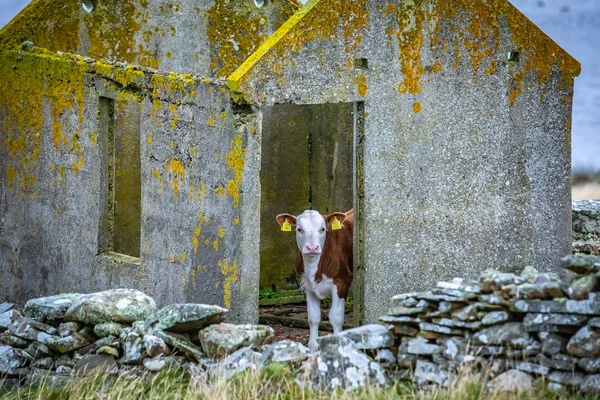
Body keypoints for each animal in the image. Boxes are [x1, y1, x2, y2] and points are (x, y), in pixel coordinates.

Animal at [278, 209, 356, 350]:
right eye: (299, 229)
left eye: (323, 229)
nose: (312, 247)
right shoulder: (307, 285)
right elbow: (313, 317)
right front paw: (313, 346)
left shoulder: (342, 281)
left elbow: (336, 317)